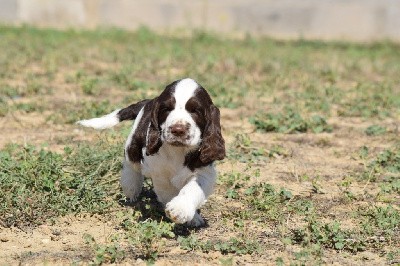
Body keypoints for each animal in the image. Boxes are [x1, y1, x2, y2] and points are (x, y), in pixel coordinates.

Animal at [78, 78, 225, 227]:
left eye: (195, 111)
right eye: (167, 109)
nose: (178, 130)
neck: (178, 151)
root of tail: (149, 101)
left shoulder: (204, 171)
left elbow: (193, 189)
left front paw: (181, 211)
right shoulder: (160, 174)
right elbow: (168, 192)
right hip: (134, 143)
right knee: (131, 164)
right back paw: (131, 187)